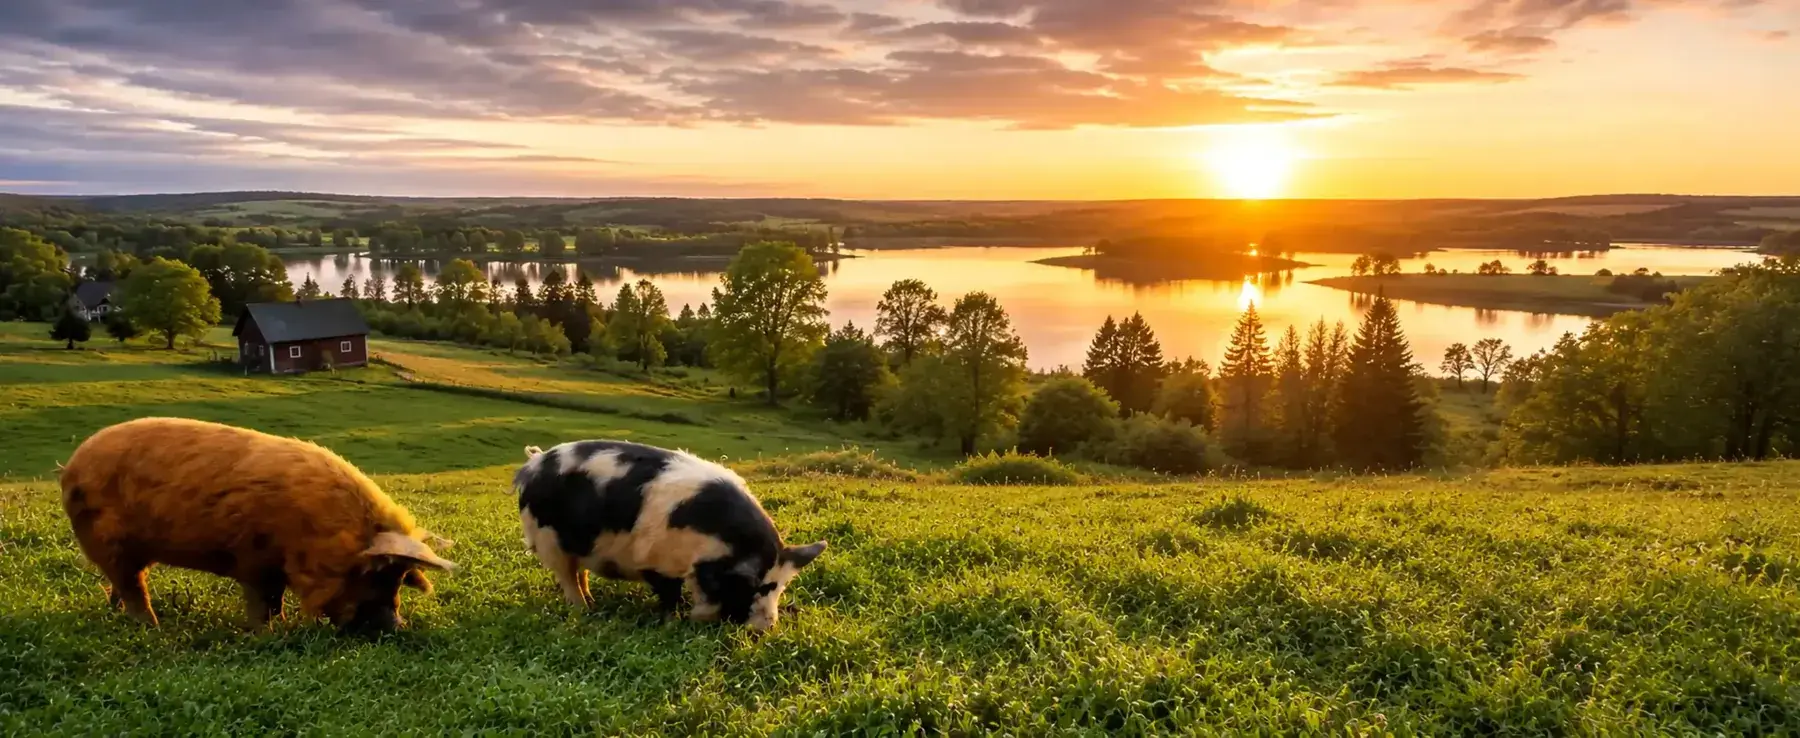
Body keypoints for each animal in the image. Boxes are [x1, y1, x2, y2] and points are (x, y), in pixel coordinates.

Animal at [59, 417, 456, 634]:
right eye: (375, 575)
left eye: (400, 579)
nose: (399, 627)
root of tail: (71, 466)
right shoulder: (253, 559)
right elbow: (263, 601)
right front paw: (271, 633)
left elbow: (275, 599)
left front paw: (283, 623)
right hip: (108, 540)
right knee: (132, 585)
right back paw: (152, 628)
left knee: (121, 584)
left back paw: (118, 614)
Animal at [515, 440, 825, 631]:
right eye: (753, 587)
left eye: (780, 587)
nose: (765, 628)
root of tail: (534, 464)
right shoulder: (654, 559)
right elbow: (669, 593)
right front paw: (673, 621)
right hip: (548, 540)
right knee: (567, 577)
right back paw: (584, 610)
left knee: (581, 573)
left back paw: (592, 602)